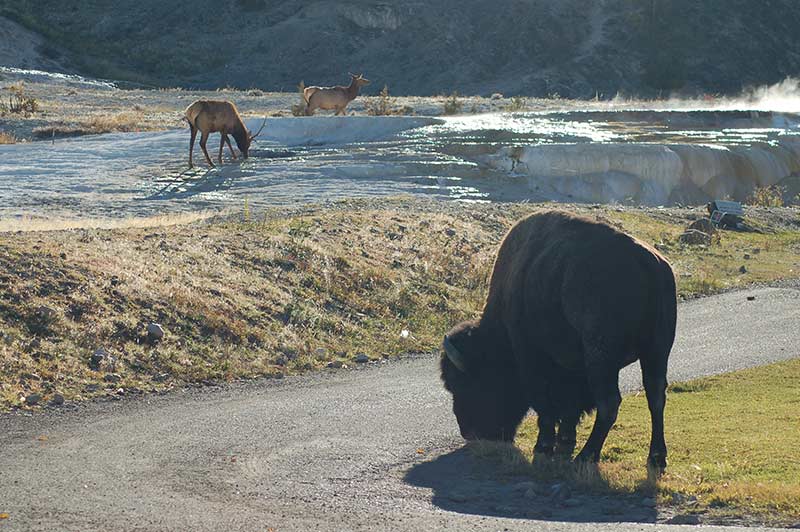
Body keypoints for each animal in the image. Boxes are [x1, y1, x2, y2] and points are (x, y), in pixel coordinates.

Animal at [440, 210, 680, 472]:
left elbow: (544, 402)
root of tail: (649, 262)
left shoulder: (530, 356)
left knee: (609, 403)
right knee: (655, 396)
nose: (469, 432)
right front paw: (565, 441)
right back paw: (656, 458)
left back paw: (586, 456)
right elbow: (571, 405)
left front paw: (544, 446)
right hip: (657, 352)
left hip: (602, 358)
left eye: (464, 383)